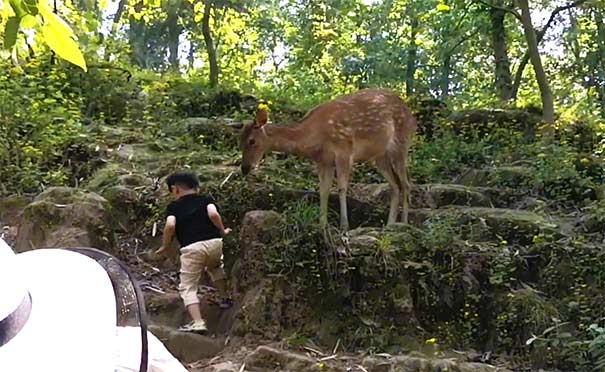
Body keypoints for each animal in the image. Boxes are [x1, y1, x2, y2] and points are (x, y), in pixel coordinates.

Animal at [238, 90, 418, 230]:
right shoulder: (323, 161)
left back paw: (403, 223)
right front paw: (322, 223)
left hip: (401, 144)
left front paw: (344, 225)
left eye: (252, 141)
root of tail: (412, 117)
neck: (313, 138)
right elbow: (323, 190)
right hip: (379, 157)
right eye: (239, 140)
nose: (244, 168)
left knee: (406, 183)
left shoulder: (344, 150)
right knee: (395, 185)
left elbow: (341, 188)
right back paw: (390, 224)